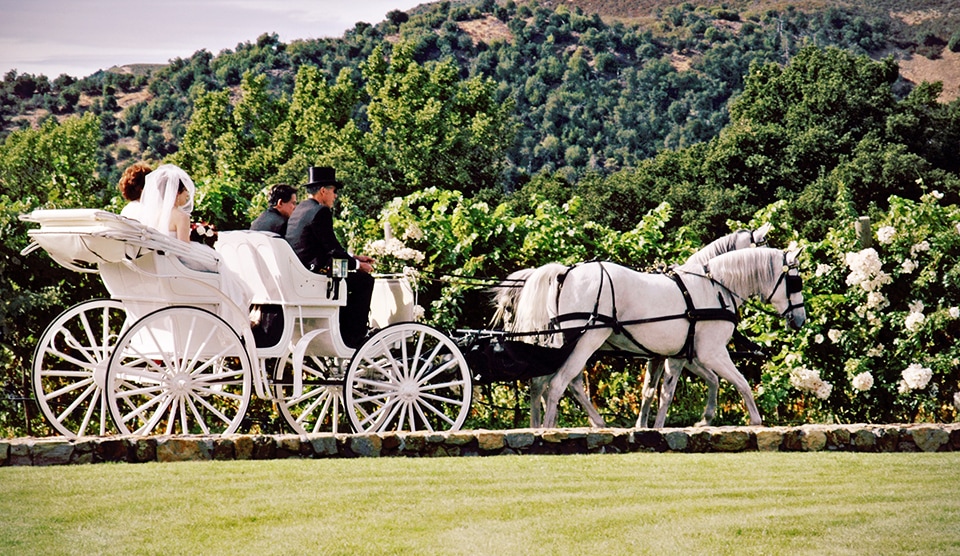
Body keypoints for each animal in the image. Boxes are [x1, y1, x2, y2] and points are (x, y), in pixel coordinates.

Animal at [496, 224, 772, 428]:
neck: (701, 287)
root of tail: (565, 272)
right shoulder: (688, 353)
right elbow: (669, 390)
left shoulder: (670, 354)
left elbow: (654, 390)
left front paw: (646, 424)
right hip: (584, 341)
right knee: (560, 382)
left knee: (544, 381)